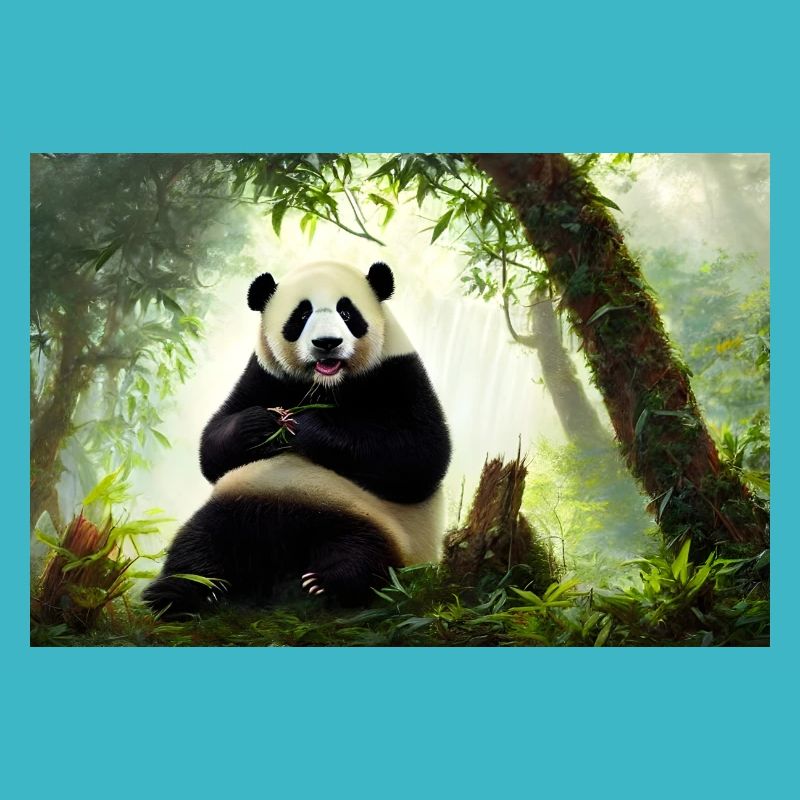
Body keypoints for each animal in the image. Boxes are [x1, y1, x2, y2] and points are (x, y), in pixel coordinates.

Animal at [143, 260, 451, 617]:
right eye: (301, 314)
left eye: (347, 312)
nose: (327, 343)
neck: (326, 384)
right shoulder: (263, 374)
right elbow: (213, 450)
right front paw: (263, 424)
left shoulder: (399, 371)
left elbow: (420, 455)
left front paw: (305, 426)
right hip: (238, 504)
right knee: (197, 544)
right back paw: (179, 592)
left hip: (382, 527)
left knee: (367, 557)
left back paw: (328, 583)